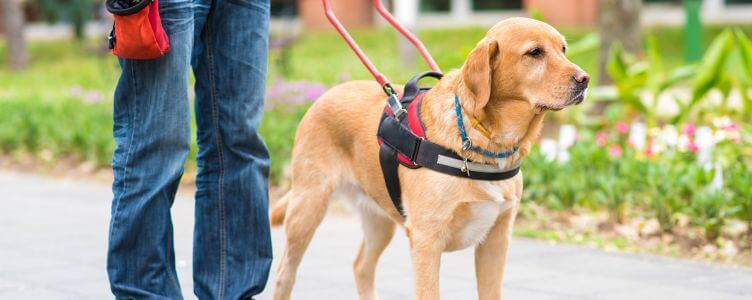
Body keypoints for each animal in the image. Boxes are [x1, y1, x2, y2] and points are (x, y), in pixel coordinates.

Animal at [268, 17, 588, 298]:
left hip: (379, 219)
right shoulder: (426, 242)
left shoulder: (496, 240)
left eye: (563, 49)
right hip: (307, 209)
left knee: (361, 266)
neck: (485, 140)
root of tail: (324, 95)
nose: (585, 79)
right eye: (534, 52)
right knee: (285, 273)